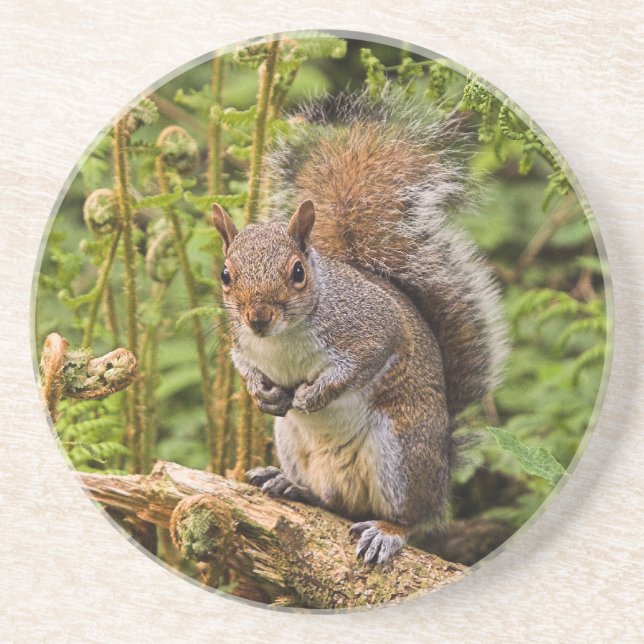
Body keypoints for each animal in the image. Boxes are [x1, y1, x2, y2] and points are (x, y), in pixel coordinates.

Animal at [211, 89, 507, 564]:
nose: (258, 317)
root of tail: (443, 471)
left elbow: (362, 362)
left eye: (297, 272)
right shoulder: (241, 343)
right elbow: (243, 363)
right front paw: (260, 391)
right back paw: (288, 484)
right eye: (225, 274)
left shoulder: (372, 327)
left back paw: (386, 531)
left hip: (400, 453)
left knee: (412, 517)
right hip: (292, 441)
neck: (282, 339)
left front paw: (313, 395)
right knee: (330, 499)